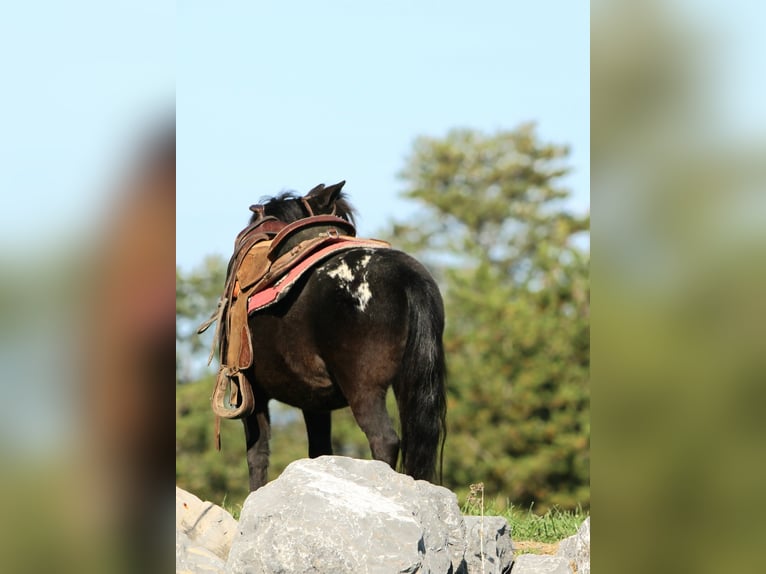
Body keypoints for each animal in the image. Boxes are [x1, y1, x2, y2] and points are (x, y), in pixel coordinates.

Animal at [229, 181, 447, 491]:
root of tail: (406, 277)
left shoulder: (254, 395)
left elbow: (257, 455)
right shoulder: (314, 401)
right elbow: (319, 450)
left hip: (364, 390)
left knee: (384, 440)